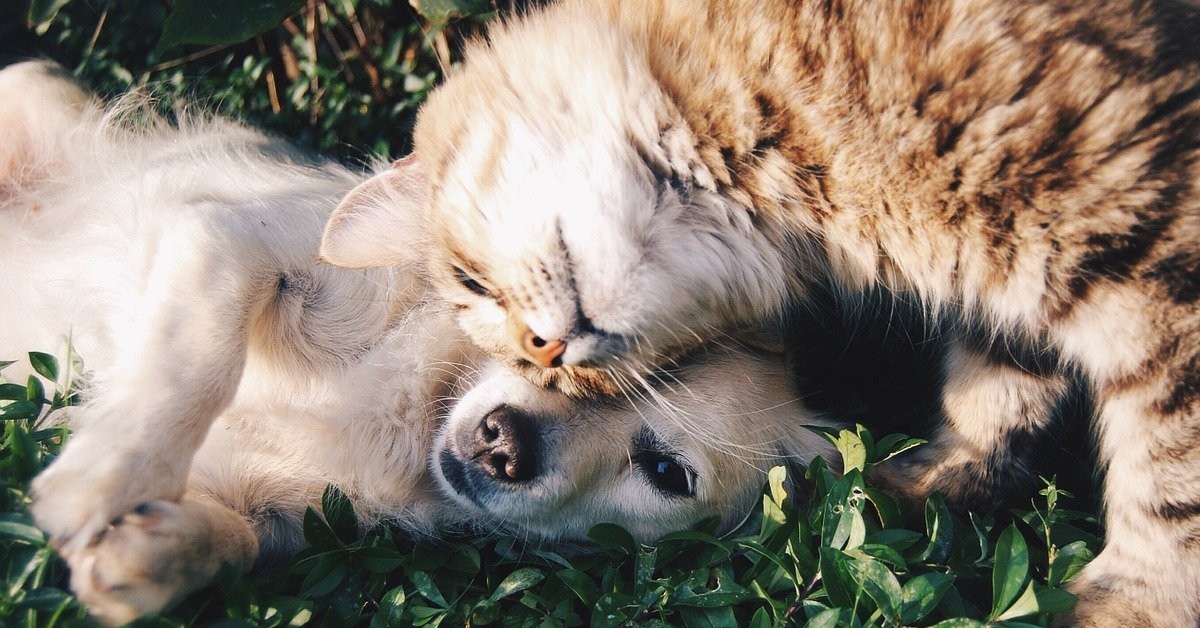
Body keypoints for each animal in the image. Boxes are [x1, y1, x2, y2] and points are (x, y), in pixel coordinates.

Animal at [2, 60, 835, 624]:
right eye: (547, 342)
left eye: (666, 472)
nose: (504, 443)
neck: (418, 411)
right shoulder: (230, 239)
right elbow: (193, 363)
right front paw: (102, 477)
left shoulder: (281, 518)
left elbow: (233, 542)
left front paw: (149, 554)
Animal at [324, 1, 1200, 624]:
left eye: (470, 282)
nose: (545, 353)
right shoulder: (1012, 287)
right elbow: (996, 390)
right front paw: (926, 483)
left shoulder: (1151, 247)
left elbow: (1170, 475)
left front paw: (1136, 603)